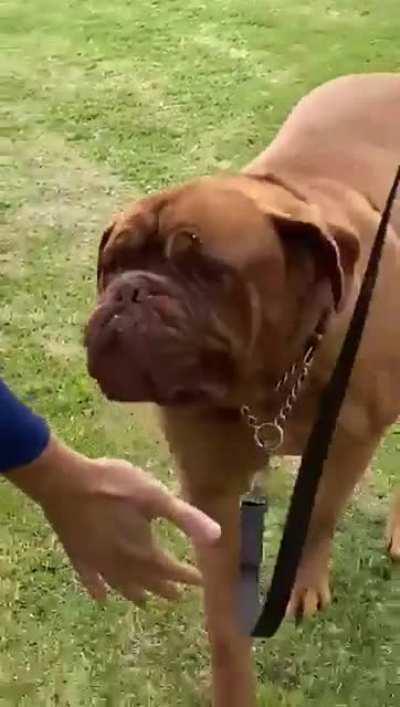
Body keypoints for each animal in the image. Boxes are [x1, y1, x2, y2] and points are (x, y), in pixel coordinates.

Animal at [84, 74, 400, 704]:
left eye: (206, 268)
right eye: (114, 263)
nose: (131, 291)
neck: (276, 377)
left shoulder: (350, 444)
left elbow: (321, 514)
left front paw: (305, 581)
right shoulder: (211, 488)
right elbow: (224, 619)